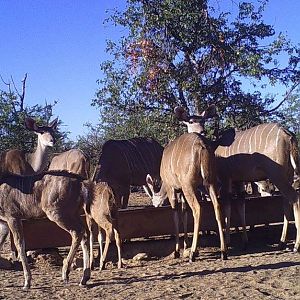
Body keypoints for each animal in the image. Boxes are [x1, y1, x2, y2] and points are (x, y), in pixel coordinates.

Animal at [146, 132, 227, 262]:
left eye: (152, 198)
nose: (154, 205)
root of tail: (201, 145)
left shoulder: (172, 189)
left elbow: (175, 215)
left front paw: (177, 251)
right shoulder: (182, 193)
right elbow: (184, 214)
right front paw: (185, 246)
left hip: (188, 185)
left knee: (197, 208)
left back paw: (193, 254)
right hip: (210, 183)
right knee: (217, 206)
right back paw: (223, 251)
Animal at [176, 106, 300, 252]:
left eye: (203, 120)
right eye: (190, 121)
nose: (201, 131)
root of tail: (288, 135)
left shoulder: (225, 179)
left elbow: (227, 207)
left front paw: (227, 241)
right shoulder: (238, 181)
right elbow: (241, 206)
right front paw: (245, 241)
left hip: (276, 175)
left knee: (294, 197)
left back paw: (296, 245)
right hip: (287, 175)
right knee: (286, 202)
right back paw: (282, 242)